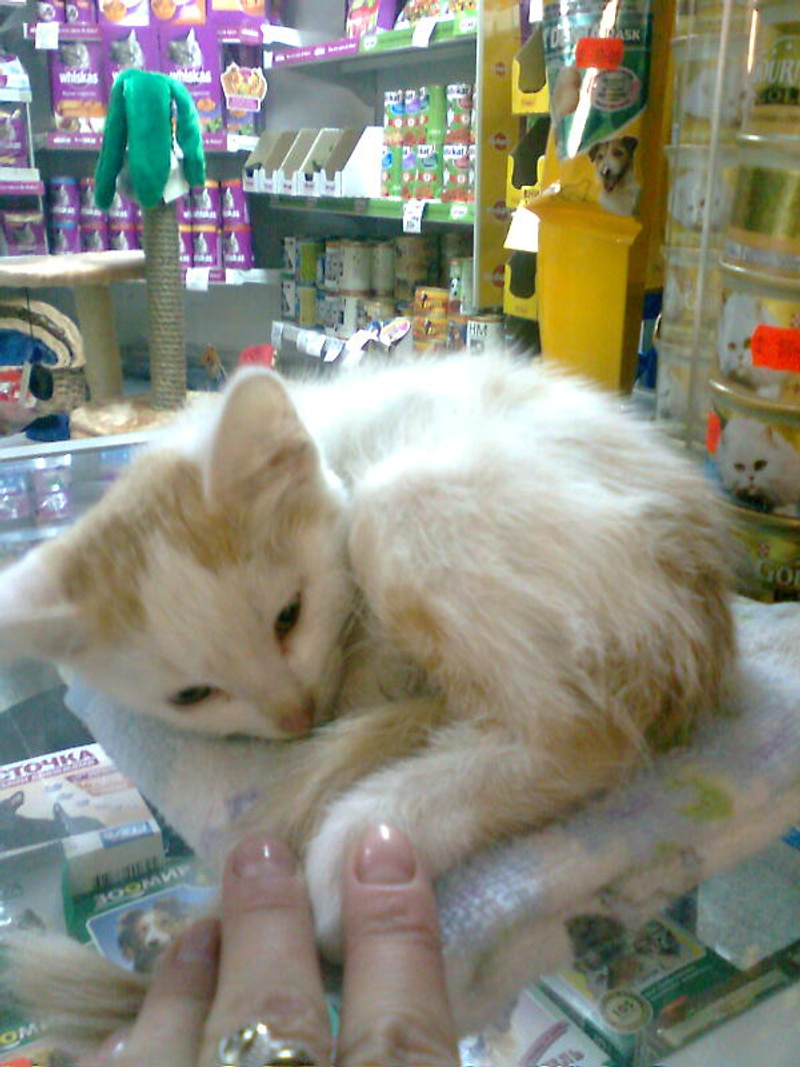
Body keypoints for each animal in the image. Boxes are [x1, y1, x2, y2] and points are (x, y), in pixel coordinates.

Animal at [0, 355, 735, 1045]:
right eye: (193, 694)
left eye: (289, 615)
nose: (297, 716)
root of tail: (704, 621)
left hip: (414, 495)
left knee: (576, 733)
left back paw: (368, 832)